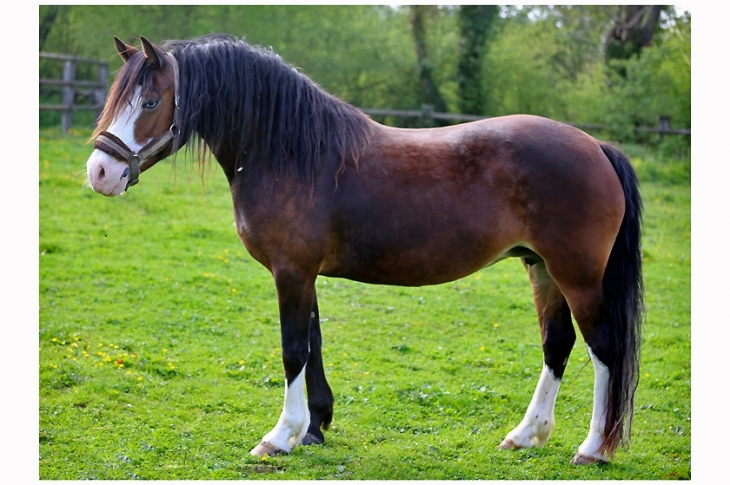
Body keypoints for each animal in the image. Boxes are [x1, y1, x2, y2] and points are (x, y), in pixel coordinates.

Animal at [85, 35, 640, 466]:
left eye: (151, 103)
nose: (100, 172)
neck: (292, 152)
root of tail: (596, 147)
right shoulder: (303, 274)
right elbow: (313, 345)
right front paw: (313, 428)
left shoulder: (291, 271)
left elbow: (293, 349)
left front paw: (278, 437)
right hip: (540, 267)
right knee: (557, 344)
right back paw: (525, 436)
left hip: (576, 275)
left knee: (603, 348)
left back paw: (593, 448)